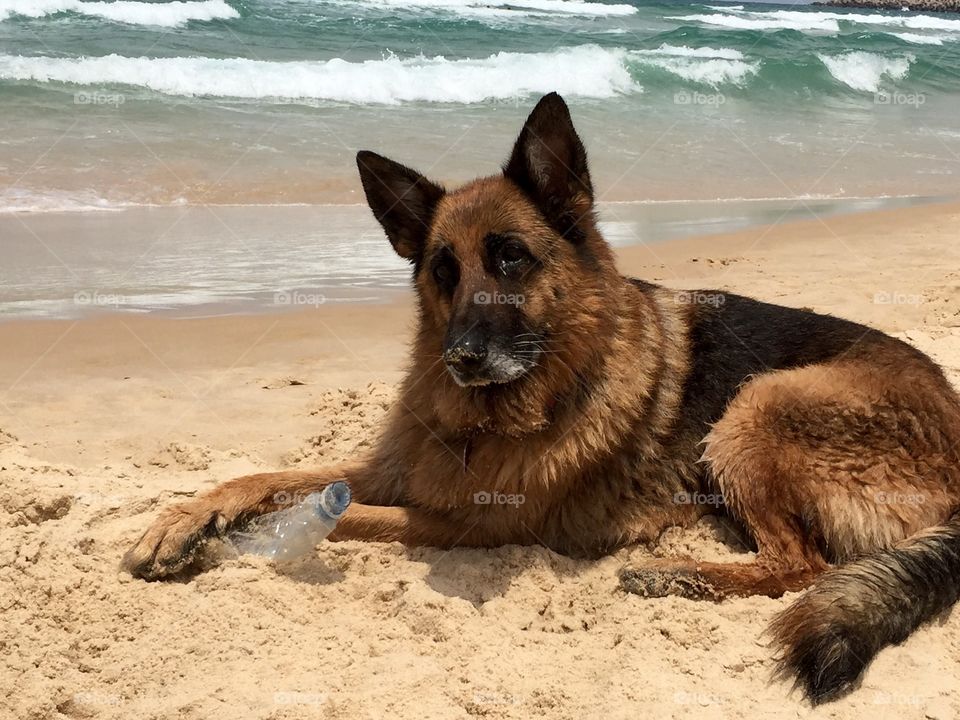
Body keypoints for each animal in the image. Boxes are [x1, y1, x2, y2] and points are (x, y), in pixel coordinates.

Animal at [124, 93, 960, 704]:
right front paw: (182, 522)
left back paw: (680, 575)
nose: (462, 359)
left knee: (801, 565)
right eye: (442, 269)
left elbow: (346, 516)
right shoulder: (399, 470)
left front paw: (236, 541)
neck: (498, 414)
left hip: (758, 405)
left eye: (512, 258)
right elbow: (270, 477)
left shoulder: (466, 525)